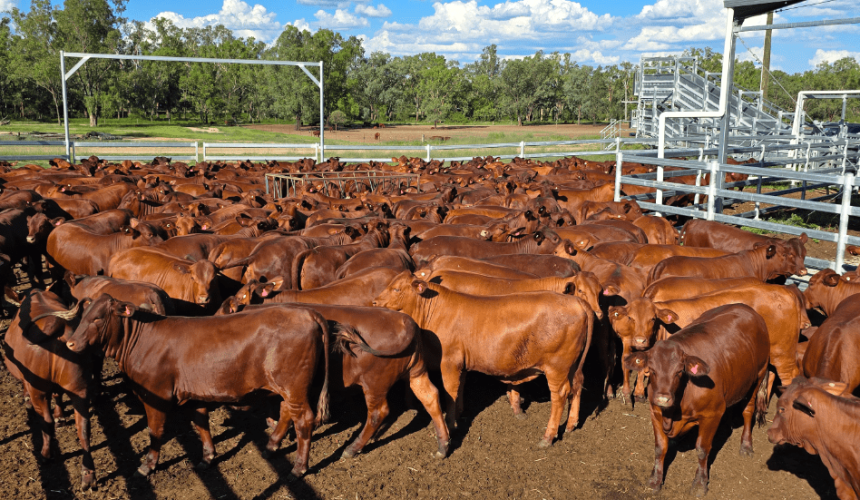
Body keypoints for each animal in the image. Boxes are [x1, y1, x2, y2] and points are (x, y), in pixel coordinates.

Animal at [60, 294, 330, 478]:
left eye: (97, 318)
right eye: (83, 316)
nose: (70, 343)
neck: (143, 339)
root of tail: (307, 313)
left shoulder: (155, 395)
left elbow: (155, 431)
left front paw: (147, 465)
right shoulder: (194, 393)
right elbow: (201, 423)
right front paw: (208, 457)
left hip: (294, 387)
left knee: (304, 419)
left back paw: (299, 468)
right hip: (288, 388)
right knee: (286, 412)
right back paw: (271, 446)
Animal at [373, 271, 593, 447]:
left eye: (396, 288)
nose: (374, 302)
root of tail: (577, 302)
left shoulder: (449, 362)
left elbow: (449, 391)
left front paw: (451, 424)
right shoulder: (461, 363)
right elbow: (460, 388)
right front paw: (459, 416)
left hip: (557, 366)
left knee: (560, 395)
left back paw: (547, 437)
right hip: (573, 366)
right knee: (577, 385)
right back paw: (571, 424)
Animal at [623, 304, 770, 496]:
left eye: (679, 371)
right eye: (651, 370)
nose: (662, 398)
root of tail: (748, 309)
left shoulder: (711, 414)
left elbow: (702, 449)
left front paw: (700, 483)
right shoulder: (655, 412)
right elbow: (660, 447)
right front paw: (655, 479)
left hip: (758, 376)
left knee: (748, 410)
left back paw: (746, 446)